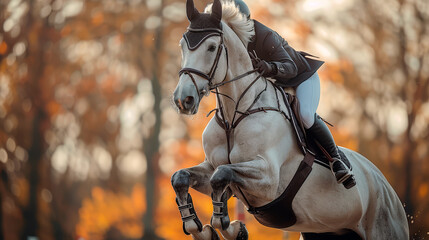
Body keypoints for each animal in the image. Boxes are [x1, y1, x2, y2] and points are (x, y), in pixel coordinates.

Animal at [171, 0, 408, 239]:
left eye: (211, 47)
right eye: (181, 46)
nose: (183, 99)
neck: (234, 116)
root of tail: (387, 187)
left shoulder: (267, 178)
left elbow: (221, 176)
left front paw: (232, 228)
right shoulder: (211, 166)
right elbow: (181, 177)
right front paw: (199, 228)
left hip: (383, 226)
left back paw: (341, 169)